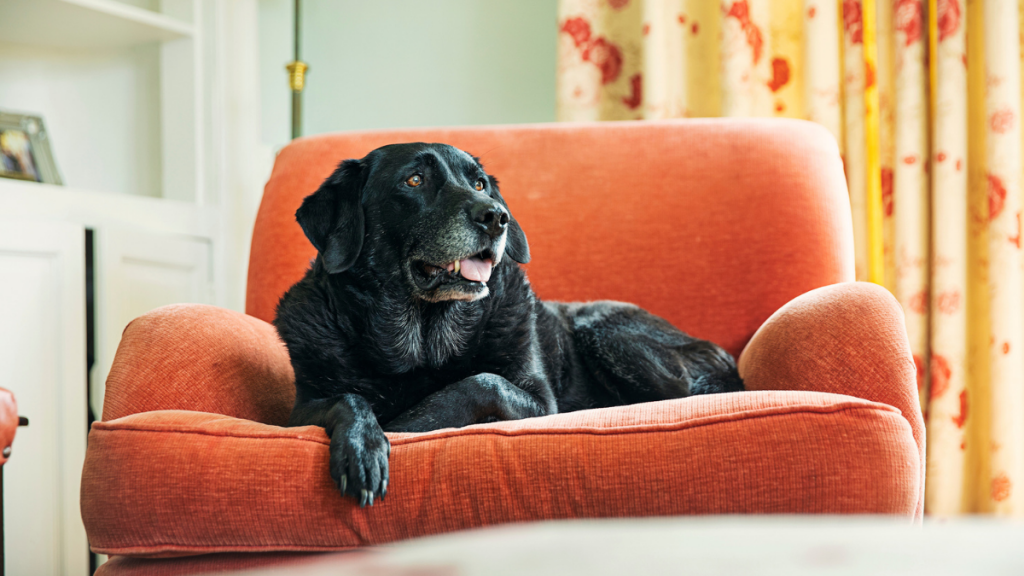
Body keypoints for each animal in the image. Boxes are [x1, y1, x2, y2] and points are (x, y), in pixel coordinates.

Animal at [276, 141, 741, 504]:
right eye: (414, 181)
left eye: (480, 183)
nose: (496, 216)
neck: (422, 343)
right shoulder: (296, 412)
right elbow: (348, 398)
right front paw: (364, 443)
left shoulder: (540, 403)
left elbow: (481, 382)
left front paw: (402, 426)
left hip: (605, 330)